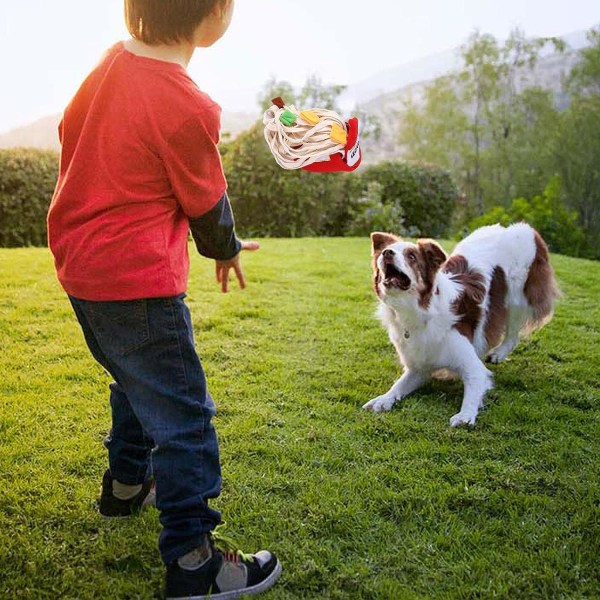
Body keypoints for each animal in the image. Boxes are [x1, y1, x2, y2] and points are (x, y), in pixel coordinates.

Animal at [364, 224, 560, 426]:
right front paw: (384, 399)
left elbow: (473, 389)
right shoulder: (419, 367)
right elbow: (398, 385)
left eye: (411, 256)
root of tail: (523, 228)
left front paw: (465, 415)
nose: (386, 253)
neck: (420, 312)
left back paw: (498, 354)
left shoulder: (474, 367)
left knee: (513, 335)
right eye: (388, 251)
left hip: (517, 299)